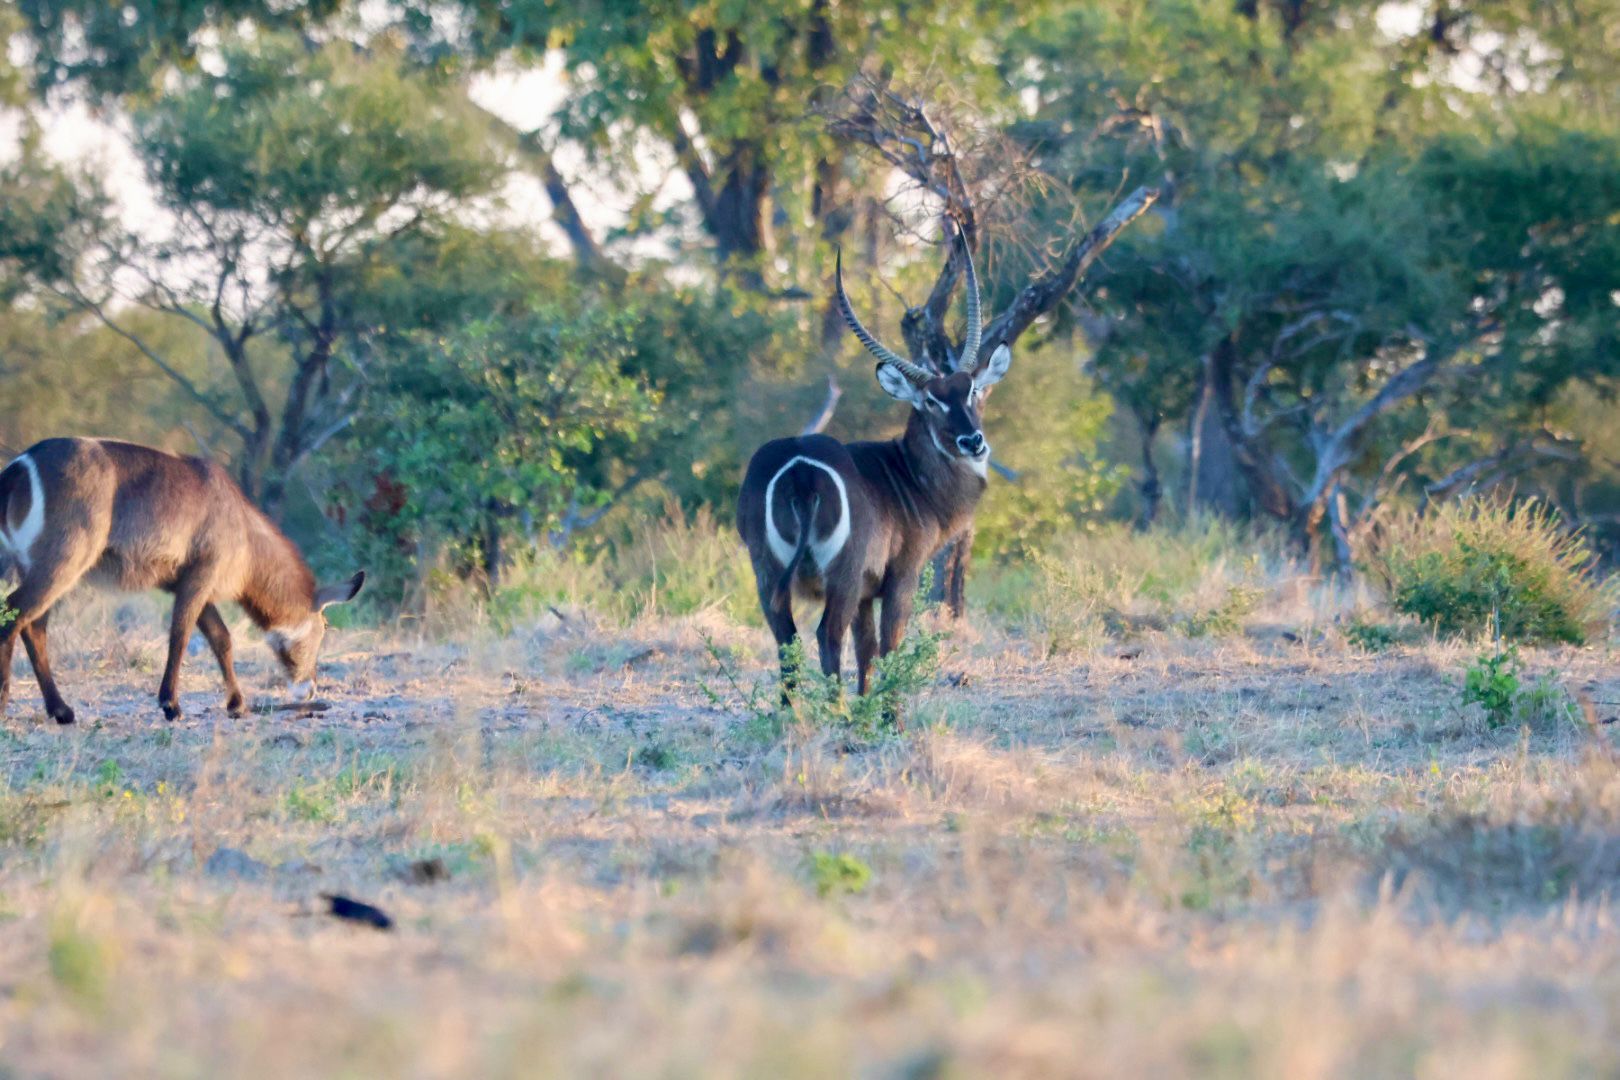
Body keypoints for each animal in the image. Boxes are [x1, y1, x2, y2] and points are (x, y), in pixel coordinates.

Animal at [0, 437, 364, 723]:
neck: (245, 533)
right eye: (325, 627)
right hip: (64, 560)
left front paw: (237, 704)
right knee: (14, 614)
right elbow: (181, 634)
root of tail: (20, 465)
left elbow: (221, 639)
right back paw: (8, 704)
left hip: (37, 565)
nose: (310, 688)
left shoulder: (193, 585)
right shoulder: (200, 575)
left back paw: (62, 711)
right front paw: (171, 705)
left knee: (33, 625)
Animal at [736, 231, 1010, 723]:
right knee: (826, 634)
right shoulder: (901, 573)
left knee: (787, 639)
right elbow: (888, 644)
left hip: (767, 572)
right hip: (840, 573)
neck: (908, 474)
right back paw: (837, 714)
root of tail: (798, 467)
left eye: (973, 391)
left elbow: (865, 648)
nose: (972, 441)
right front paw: (888, 715)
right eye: (931, 401)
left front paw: (868, 705)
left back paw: (792, 716)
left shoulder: (866, 590)